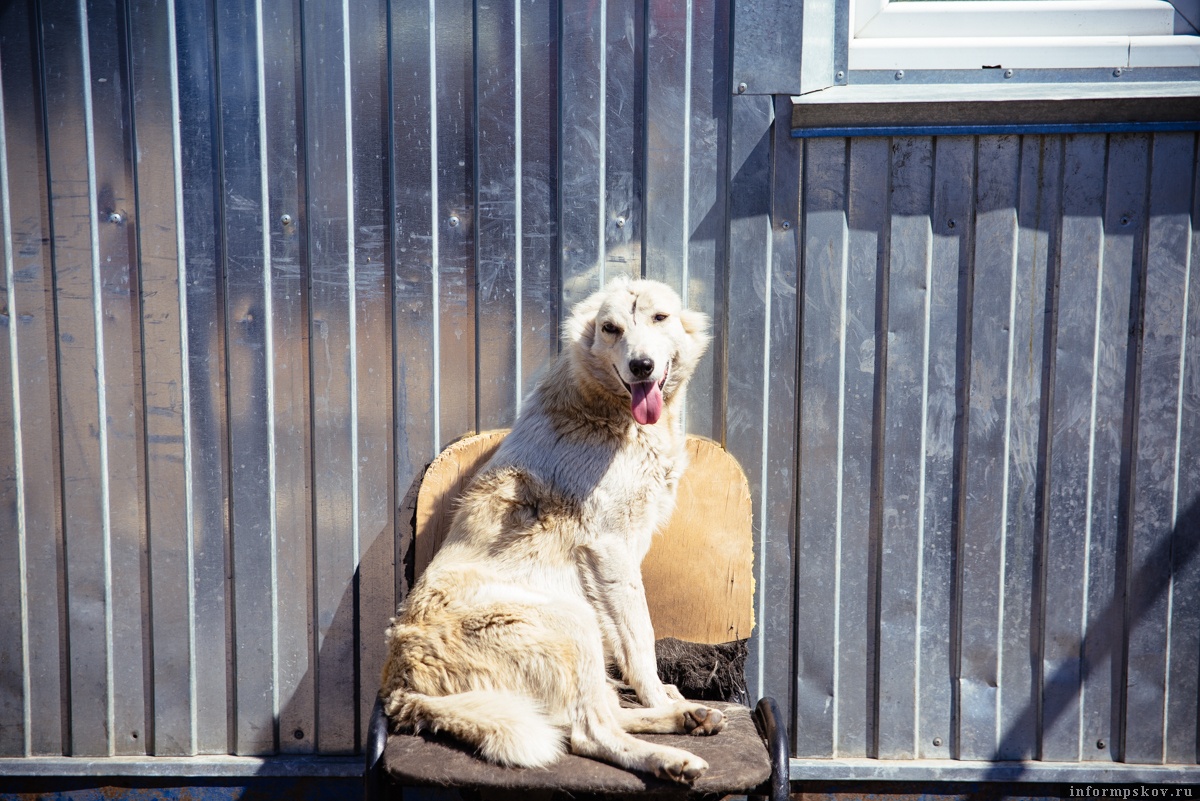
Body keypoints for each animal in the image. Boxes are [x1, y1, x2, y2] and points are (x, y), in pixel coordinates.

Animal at [384, 275, 720, 781]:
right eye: (611, 328)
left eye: (659, 318)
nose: (641, 366)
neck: (606, 411)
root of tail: (400, 686)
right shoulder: (609, 548)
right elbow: (641, 640)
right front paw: (657, 692)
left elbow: (627, 648)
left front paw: (664, 698)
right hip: (571, 622)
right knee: (587, 732)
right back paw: (670, 758)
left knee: (591, 713)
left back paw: (687, 716)